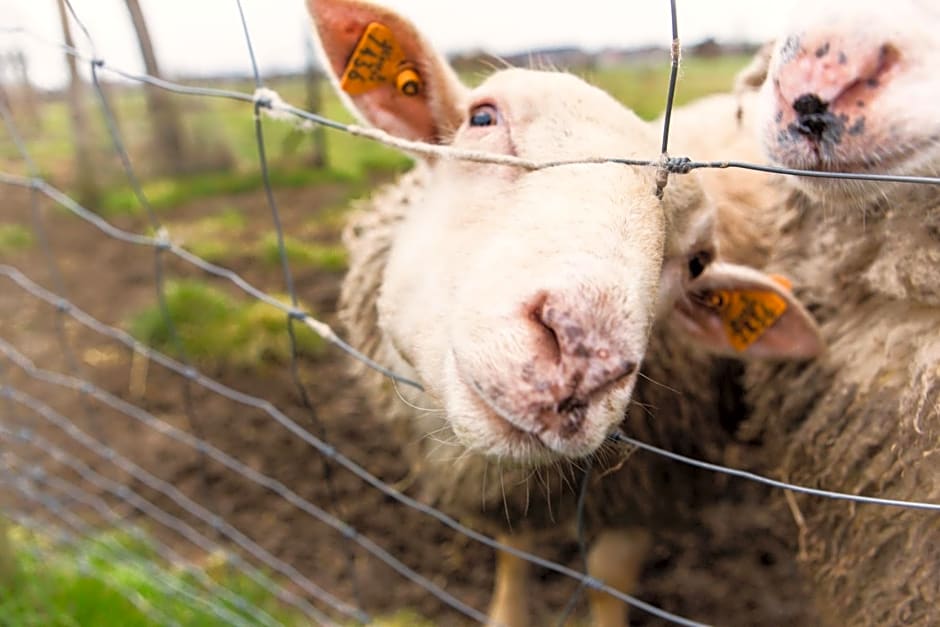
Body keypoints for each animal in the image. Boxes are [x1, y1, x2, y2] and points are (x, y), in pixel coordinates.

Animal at [306, 2, 824, 624]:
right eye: (482, 117)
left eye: (698, 262)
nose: (583, 357)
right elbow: (514, 551)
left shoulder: (646, 487)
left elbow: (606, 578)